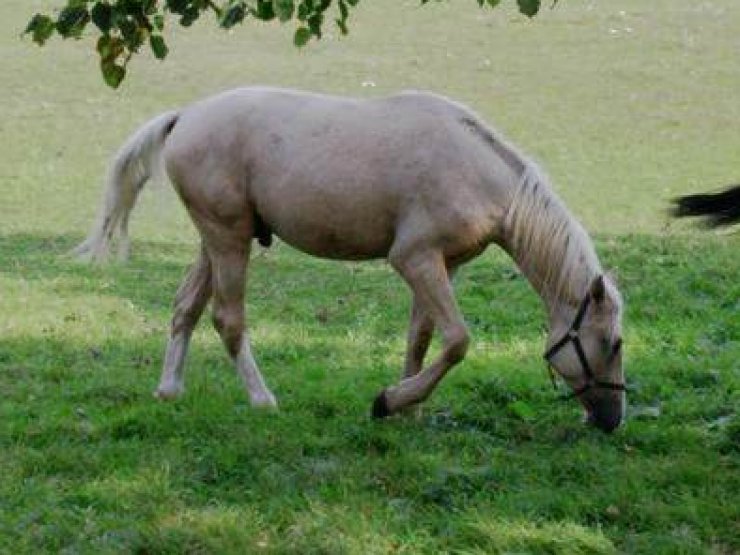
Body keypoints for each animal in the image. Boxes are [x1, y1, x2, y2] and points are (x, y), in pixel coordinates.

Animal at [73, 88, 624, 434]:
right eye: (612, 343)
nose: (613, 419)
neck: (475, 170)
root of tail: (184, 116)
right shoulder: (414, 259)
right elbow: (457, 341)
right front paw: (390, 401)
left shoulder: (440, 266)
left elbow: (422, 338)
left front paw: (408, 407)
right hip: (229, 240)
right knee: (228, 319)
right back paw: (262, 399)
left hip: (218, 240)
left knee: (185, 306)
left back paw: (169, 389)